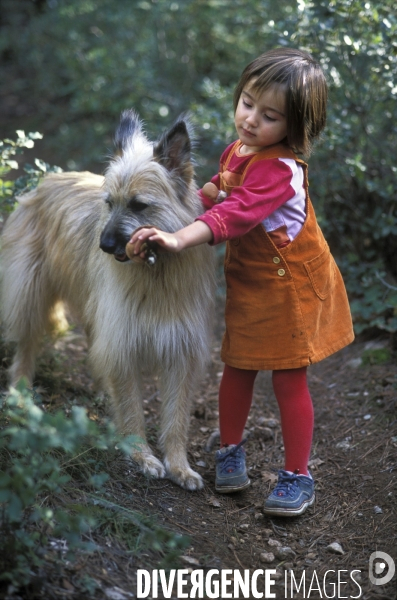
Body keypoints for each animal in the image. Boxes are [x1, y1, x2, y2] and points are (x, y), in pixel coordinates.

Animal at [1, 110, 215, 490]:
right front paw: (140, 454)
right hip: (30, 293)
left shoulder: (181, 349)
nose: (103, 245)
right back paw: (22, 395)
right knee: (25, 347)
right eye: (109, 203)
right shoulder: (122, 338)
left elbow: (176, 417)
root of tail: (47, 179)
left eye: (139, 205)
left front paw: (179, 465)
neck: (156, 273)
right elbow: (131, 406)